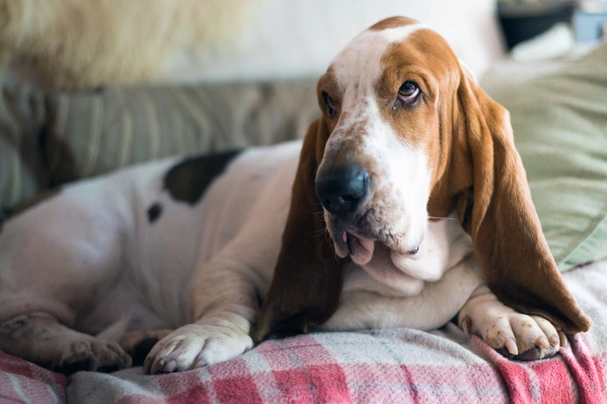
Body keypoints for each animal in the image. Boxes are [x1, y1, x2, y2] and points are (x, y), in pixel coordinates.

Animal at [0, 17, 592, 374]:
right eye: (328, 100)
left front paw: (509, 315)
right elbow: (232, 305)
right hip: (88, 247)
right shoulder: (226, 265)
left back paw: (134, 337)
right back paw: (81, 346)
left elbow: (476, 286)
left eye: (409, 90)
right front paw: (201, 338)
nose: (333, 191)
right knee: (19, 320)